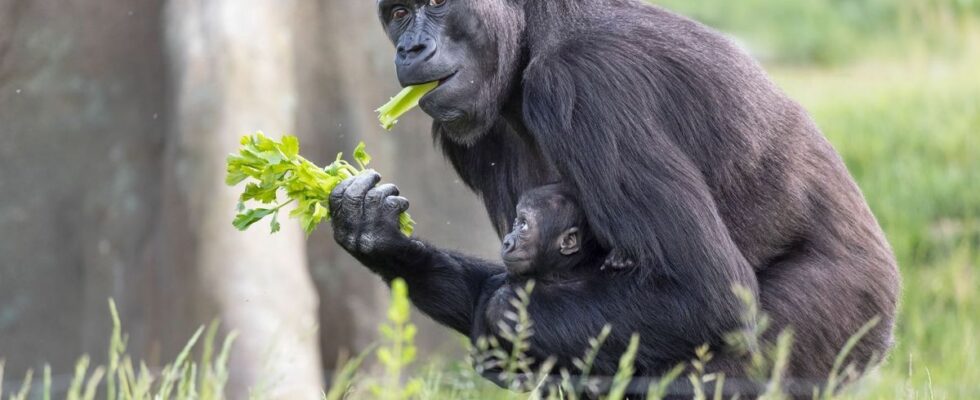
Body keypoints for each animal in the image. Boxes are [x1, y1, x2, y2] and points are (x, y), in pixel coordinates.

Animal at [332, 0, 904, 390]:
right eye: (400, 12)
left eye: (436, 3)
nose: (409, 48)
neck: (531, 39)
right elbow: (522, 273)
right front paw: (375, 233)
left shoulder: (585, 85)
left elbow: (705, 293)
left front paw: (500, 316)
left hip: (846, 325)